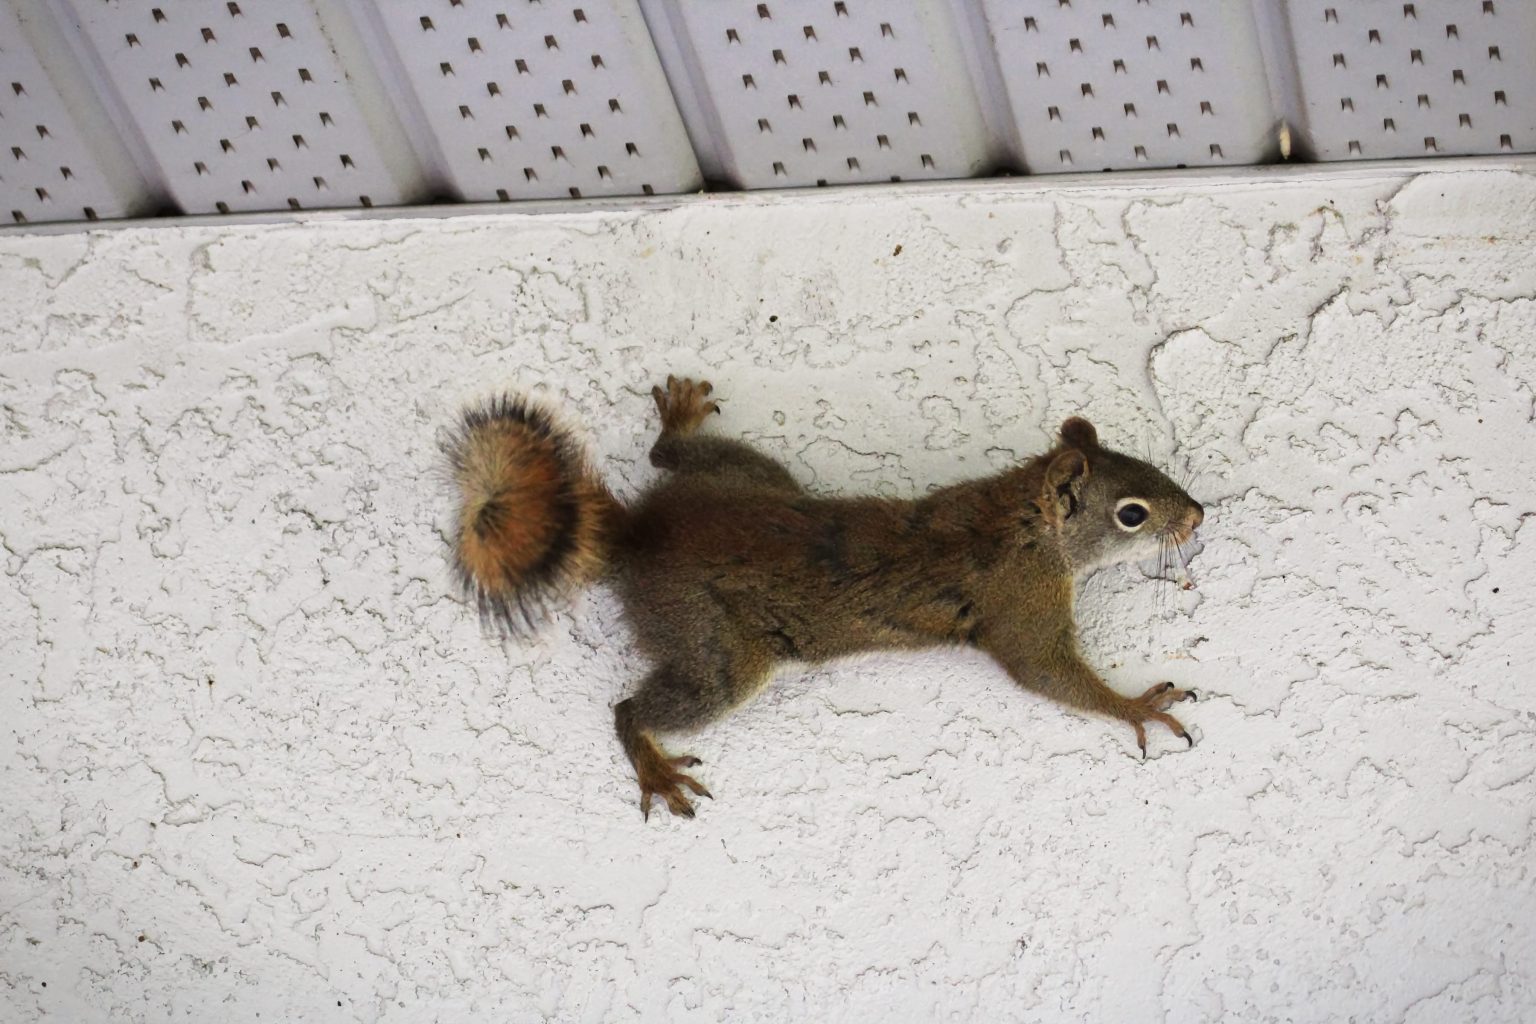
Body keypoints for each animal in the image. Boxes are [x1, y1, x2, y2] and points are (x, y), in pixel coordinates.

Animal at [448, 376, 1204, 816]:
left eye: (1149, 465)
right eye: (1131, 513)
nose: (1197, 516)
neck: (1020, 518)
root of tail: (640, 535)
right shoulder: (1020, 604)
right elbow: (1046, 672)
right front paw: (1137, 705)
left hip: (751, 475)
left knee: (669, 459)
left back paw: (681, 422)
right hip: (717, 649)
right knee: (632, 707)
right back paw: (655, 767)